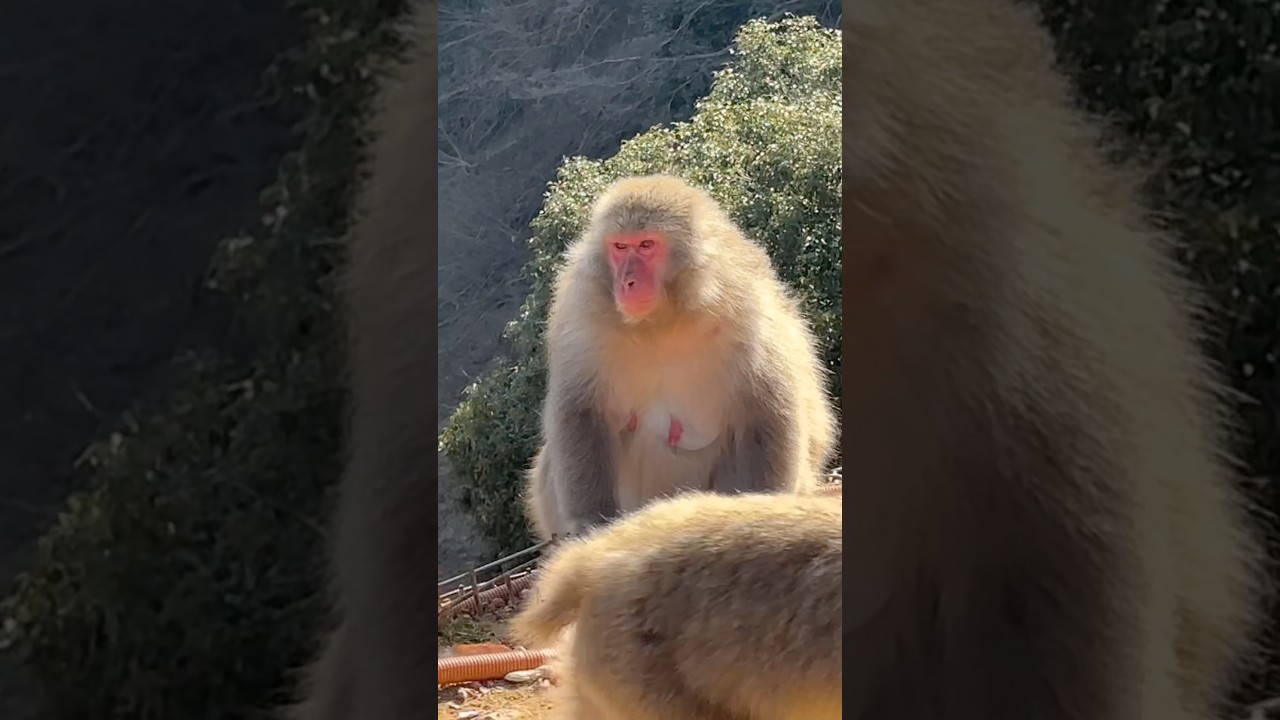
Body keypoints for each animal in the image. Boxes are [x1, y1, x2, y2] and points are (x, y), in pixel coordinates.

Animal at [524, 173, 838, 542]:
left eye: (647, 245)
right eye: (620, 247)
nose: (628, 282)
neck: (663, 321)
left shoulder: (747, 311)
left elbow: (767, 409)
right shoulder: (581, 312)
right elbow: (581, 411)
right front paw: (590, 521)